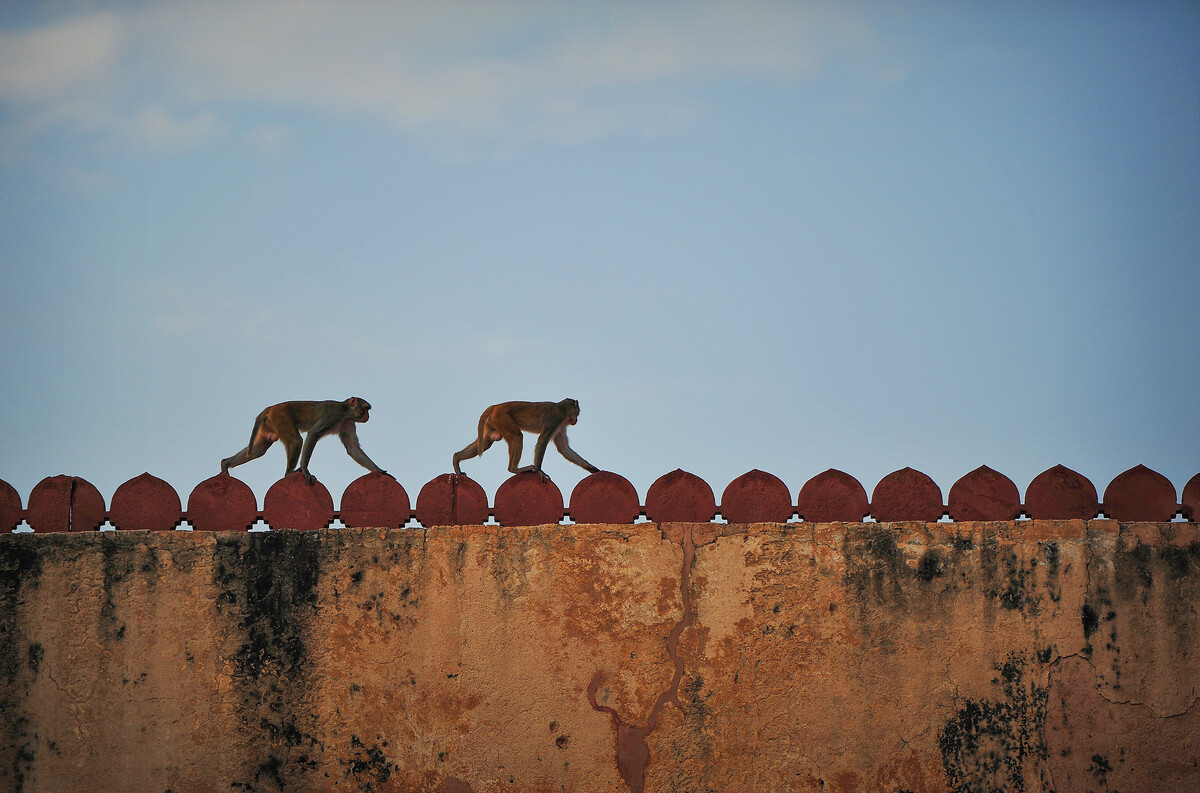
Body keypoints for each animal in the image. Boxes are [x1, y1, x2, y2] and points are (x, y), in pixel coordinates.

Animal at [222, 395, 388, 482]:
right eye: (366, 409)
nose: (368, 416)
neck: (345, 411)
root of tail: (271, 408)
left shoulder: (348, 423)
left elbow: (353, 448)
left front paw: (379, 470)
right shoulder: (333, 415)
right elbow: (313, 434)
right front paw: (304, 469)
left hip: (269, 424)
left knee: (258, 450)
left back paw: (225, 464)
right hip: (281, 416)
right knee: (296, 441)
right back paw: (289, 473)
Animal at [451, 398, 600, 479]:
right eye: (577, 412)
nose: (576, 420)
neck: (562, 410)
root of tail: (496, 406)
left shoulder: (560, 426)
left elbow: (564, 449)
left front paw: (591, 468)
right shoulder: (555, 420)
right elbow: (542, 440)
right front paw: (539, 471)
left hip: (494, 422)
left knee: (486, 442)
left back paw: (456, 458)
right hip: (502, 417)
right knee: (517, 436)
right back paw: (514, 469)